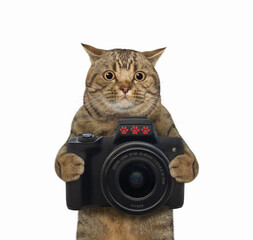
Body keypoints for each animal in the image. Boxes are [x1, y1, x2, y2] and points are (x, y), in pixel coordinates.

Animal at [54, 43, 198, 240]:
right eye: (109, 75)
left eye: (139, 76)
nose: (124, 87)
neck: (122, 118)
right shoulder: (75, 133)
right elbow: (60, 158)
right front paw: (71, 164)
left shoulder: (174, 134)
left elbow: (192, 161)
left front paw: (182, 165)